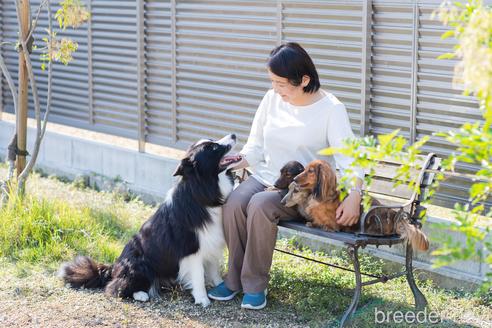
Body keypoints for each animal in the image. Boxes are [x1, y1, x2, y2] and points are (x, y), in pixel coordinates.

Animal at [58, 134, 243, 308]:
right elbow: (198, 276)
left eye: (212, 141)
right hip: (139, 265)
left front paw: (220, 286)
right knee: (116, 288)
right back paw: (141, 294)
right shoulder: (191, 248)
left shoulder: (210, 242)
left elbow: (213, 269)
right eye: (212, 148)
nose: (234, 134)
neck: (202, 191)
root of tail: (113, 269)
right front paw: (202, 299)